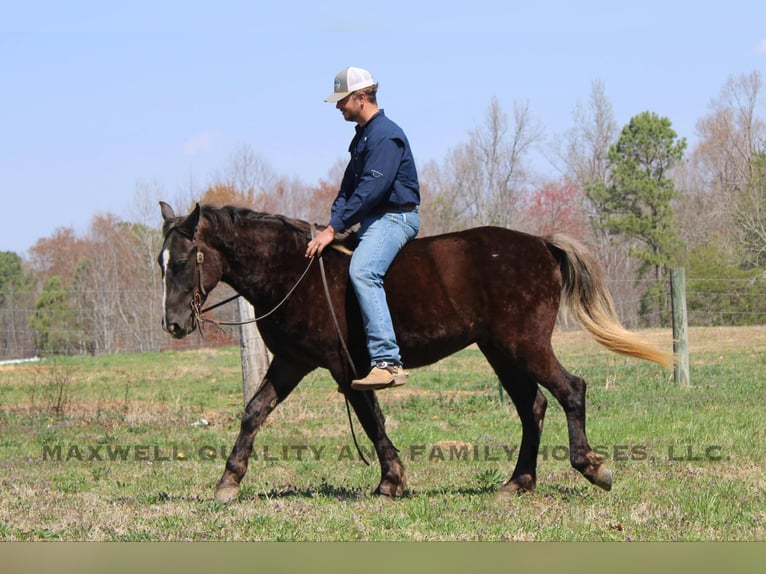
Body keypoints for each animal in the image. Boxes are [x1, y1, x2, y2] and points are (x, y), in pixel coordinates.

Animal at [158, 201, 673, 503]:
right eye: (161, 263)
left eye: (181, 261)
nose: (175, 325)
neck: (294, 271)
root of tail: (540, 244)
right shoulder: (292, 363)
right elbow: (254, 412)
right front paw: (228, 482)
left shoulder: (345, 368)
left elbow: (371, 420)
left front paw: (391, 480)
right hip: (501, 350)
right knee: (534, 406)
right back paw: (518, 482)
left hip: (523, 345)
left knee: (570, 390)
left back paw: (592, 468)